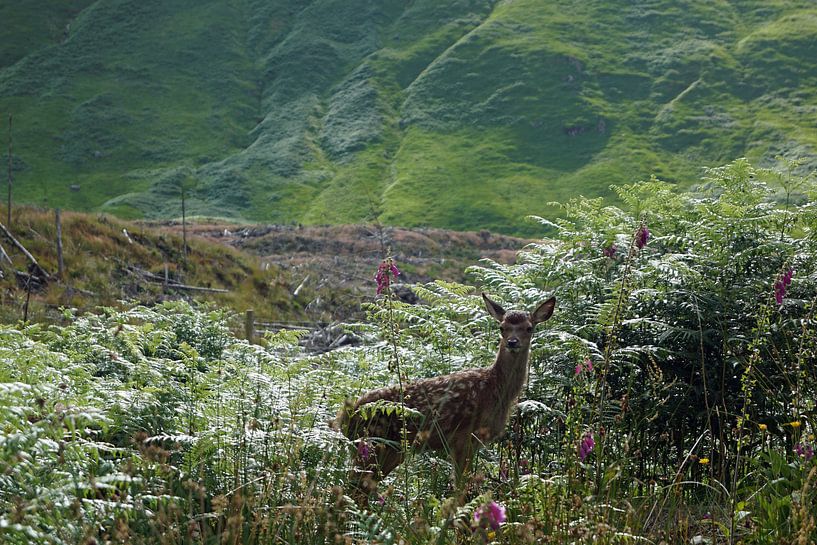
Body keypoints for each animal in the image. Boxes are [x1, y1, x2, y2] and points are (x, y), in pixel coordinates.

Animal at [334, 293, 556, 502]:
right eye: (502, 327)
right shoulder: (463, 438)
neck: (495, 388)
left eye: (529, 328)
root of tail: (344, 418)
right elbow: (460, 490)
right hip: (374, 446)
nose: (512, 342)